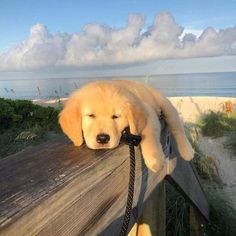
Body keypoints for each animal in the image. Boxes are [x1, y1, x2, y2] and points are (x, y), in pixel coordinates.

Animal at [59, 80, 194, 172]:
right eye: (91, 115)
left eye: (115, 117)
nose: (103, 139)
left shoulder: (148, 112)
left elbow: (149, 135)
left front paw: (155, 160)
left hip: (165, 104)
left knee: (176, 125)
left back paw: (187, 151)